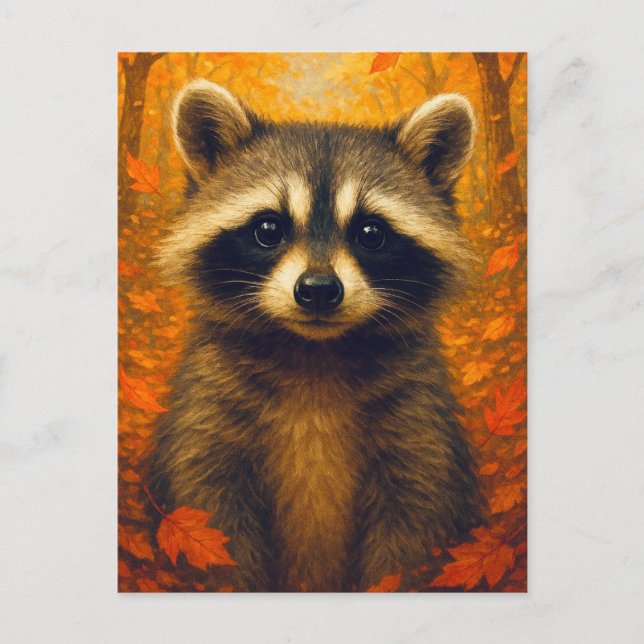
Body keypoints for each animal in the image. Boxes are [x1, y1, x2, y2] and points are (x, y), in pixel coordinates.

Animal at [149, 79, 484, 592]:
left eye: (371, 233)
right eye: (269, 228)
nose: (319, 290)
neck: (314, 354)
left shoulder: (419, 424)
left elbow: (414, 523)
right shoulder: (207, 414)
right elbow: (213, 512)